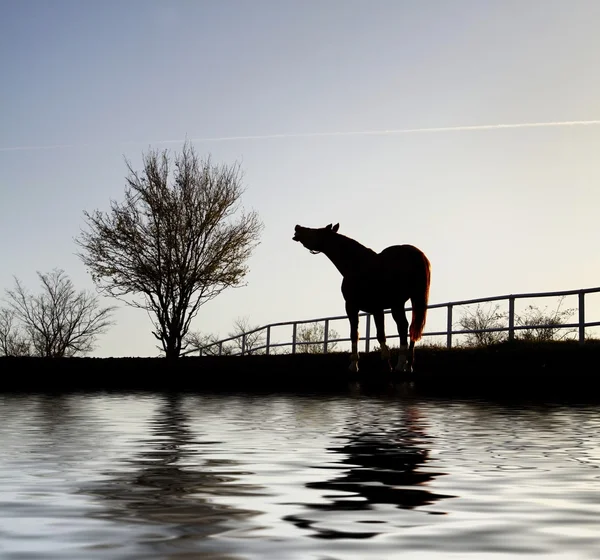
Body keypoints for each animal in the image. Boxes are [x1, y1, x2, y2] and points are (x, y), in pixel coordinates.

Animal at [292, 221, 428, 374]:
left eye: (317, 231)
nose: (297, 227)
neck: (356, 264)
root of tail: (415, 254)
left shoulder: (355, 306)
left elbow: (362, 334)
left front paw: (357, 364)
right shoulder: (376, 309)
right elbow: (373, 334)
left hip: (397, 303)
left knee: (404, 327)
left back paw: (400, 364)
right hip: (408, 301)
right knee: (410, 328)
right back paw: (408, 365)